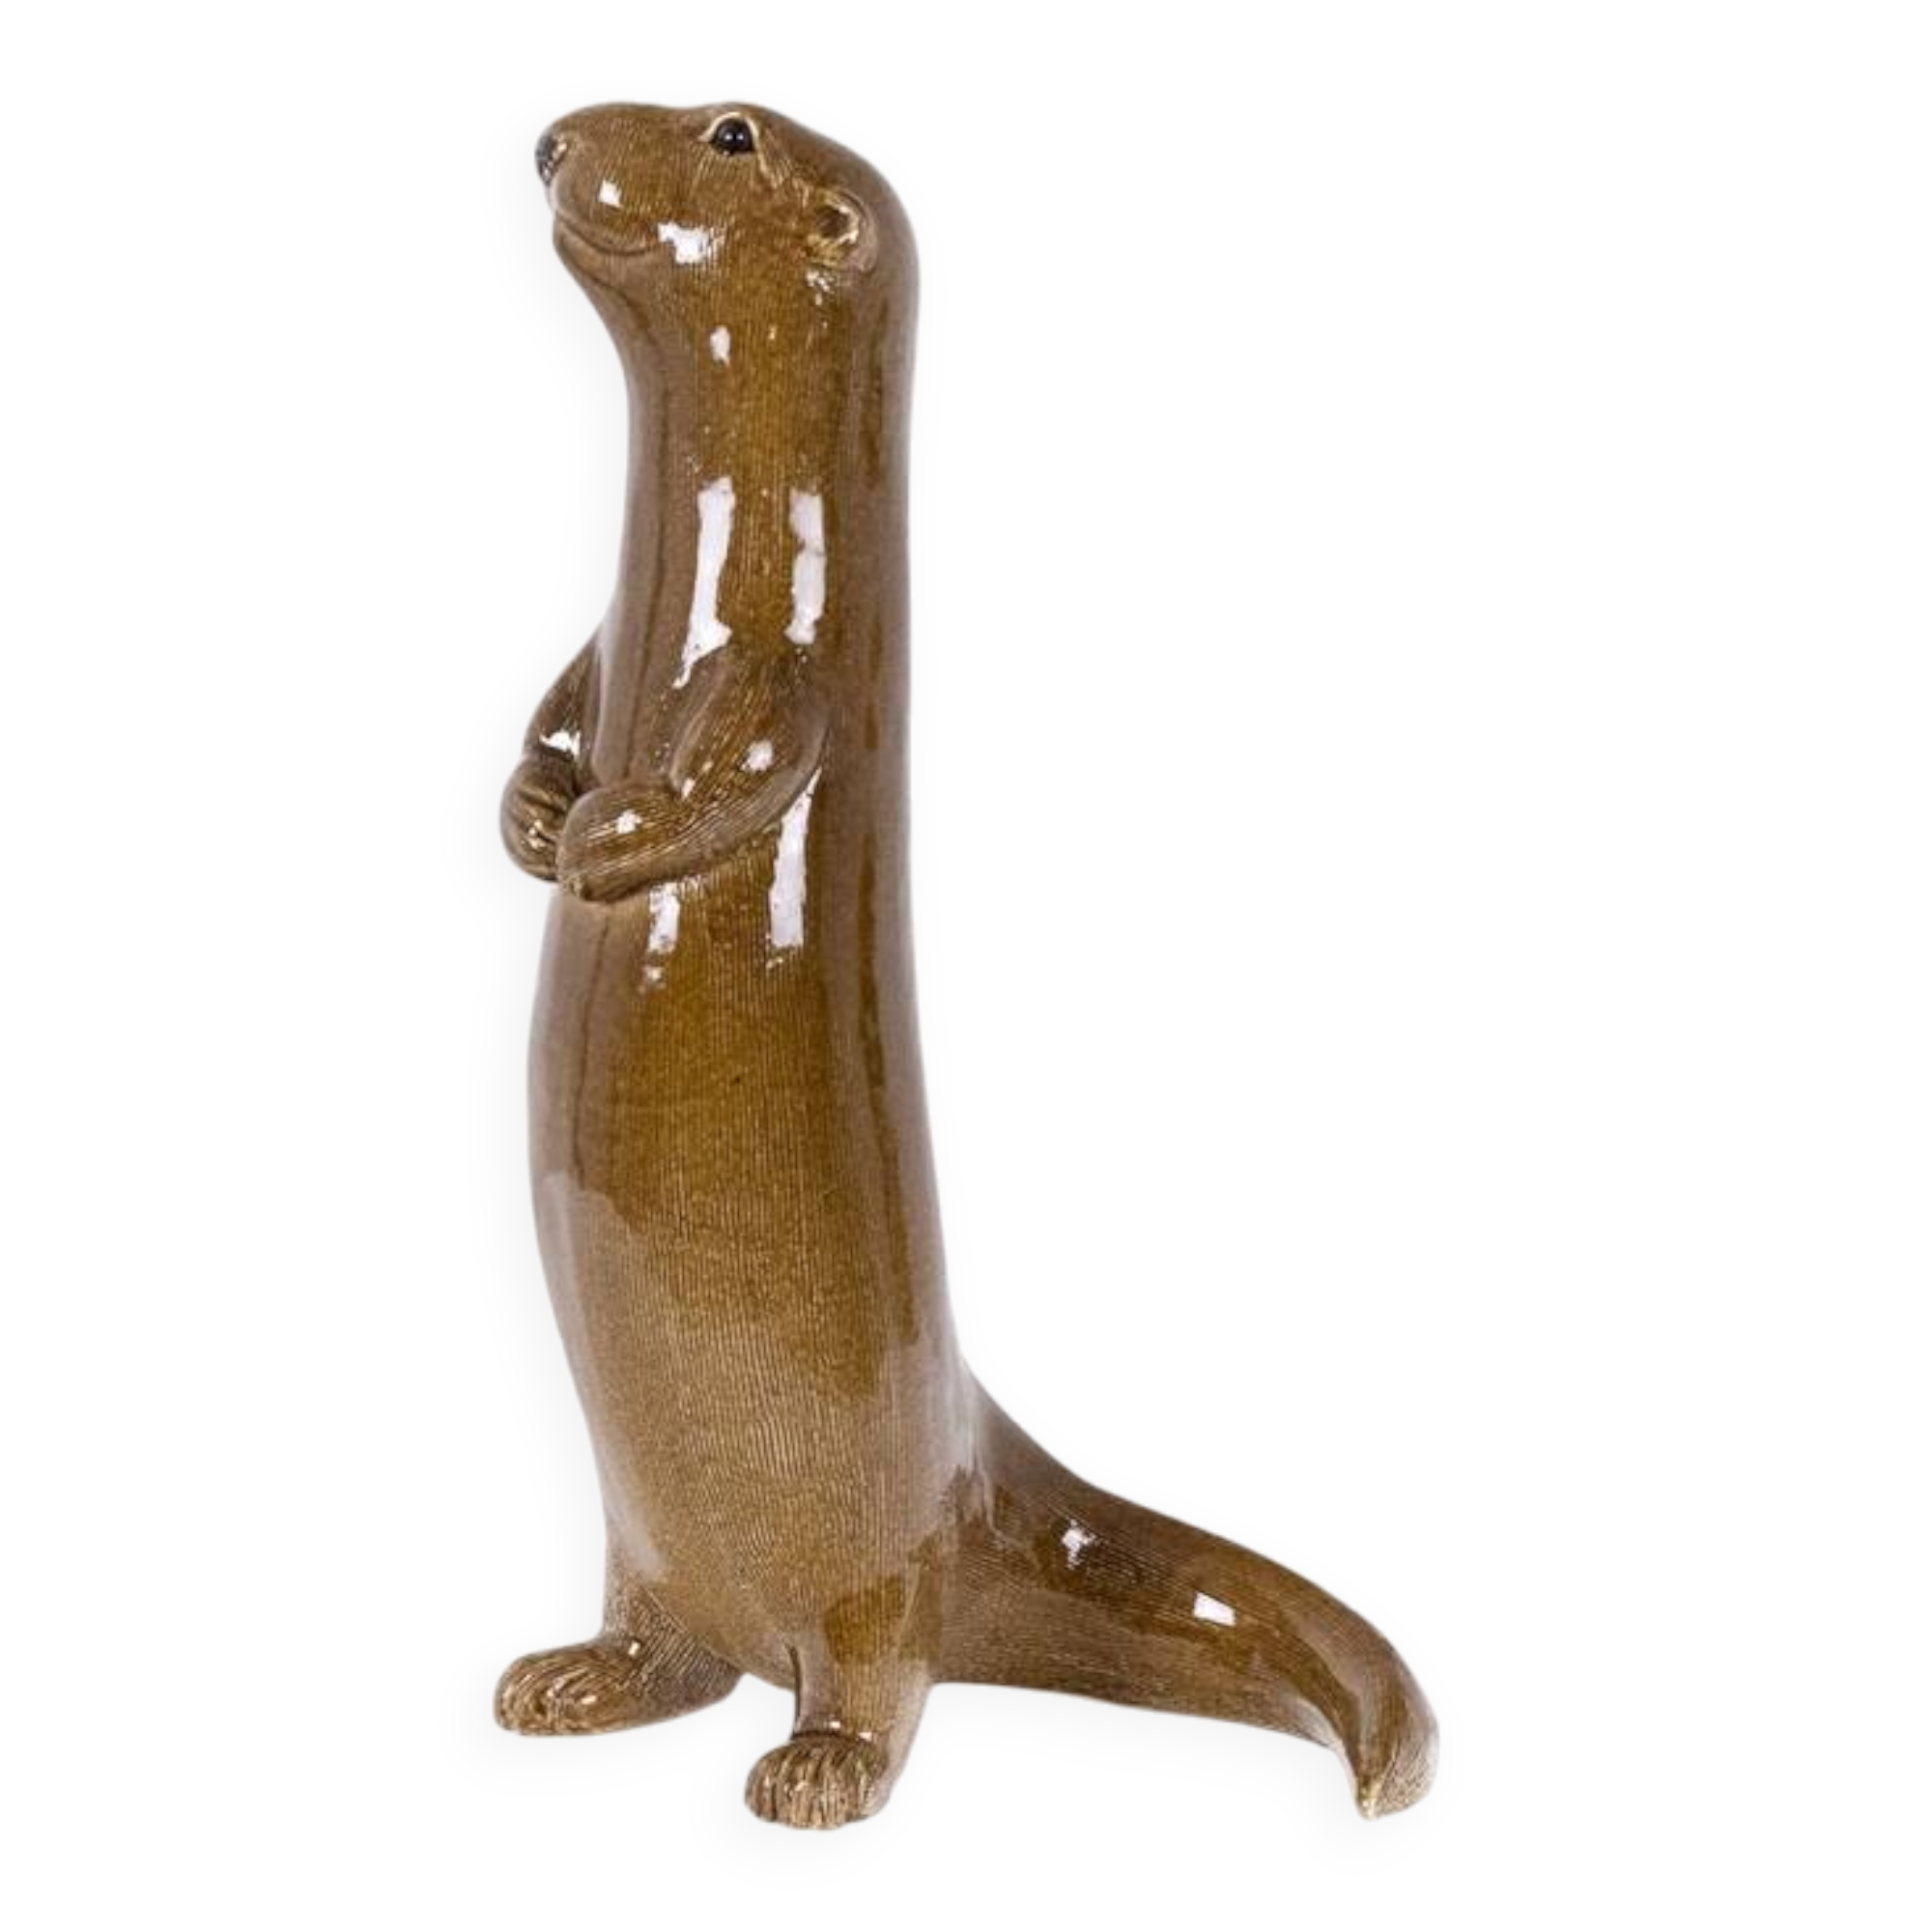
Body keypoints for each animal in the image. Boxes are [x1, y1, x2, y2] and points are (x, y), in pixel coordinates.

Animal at [496, 98, 1441, 1833]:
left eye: (728, 131)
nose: (556, 134)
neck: (692, 602)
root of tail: (975, 1475)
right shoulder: (599, 650)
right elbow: (558, 699)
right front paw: (540, 815)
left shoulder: (784, 670)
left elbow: (750, 746)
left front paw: (618, 830)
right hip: (638, 1533)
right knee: (668, 1635)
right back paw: (583, 1678)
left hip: (873, 1571)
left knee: (878, 1667)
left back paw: (816, 1763)